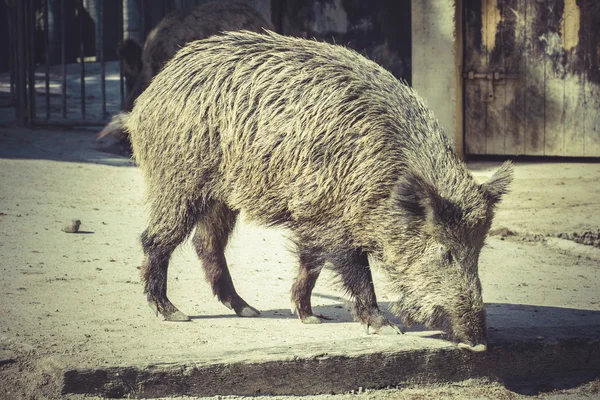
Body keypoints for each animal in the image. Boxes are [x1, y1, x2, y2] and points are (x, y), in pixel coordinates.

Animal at [106, 30, 510, 350]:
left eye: (478, 251)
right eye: (445, 252)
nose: (479, 344)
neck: (384, 179)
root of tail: (147, 98)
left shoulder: (314, 219)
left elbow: (310, 265)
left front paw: (311, 318)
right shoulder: (334, 219)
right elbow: (355, 271)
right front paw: (385, 329)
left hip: (221, 197)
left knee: (207, 245)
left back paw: (247, 309)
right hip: (179, 181)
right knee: (156, 240)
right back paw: (174, 314)